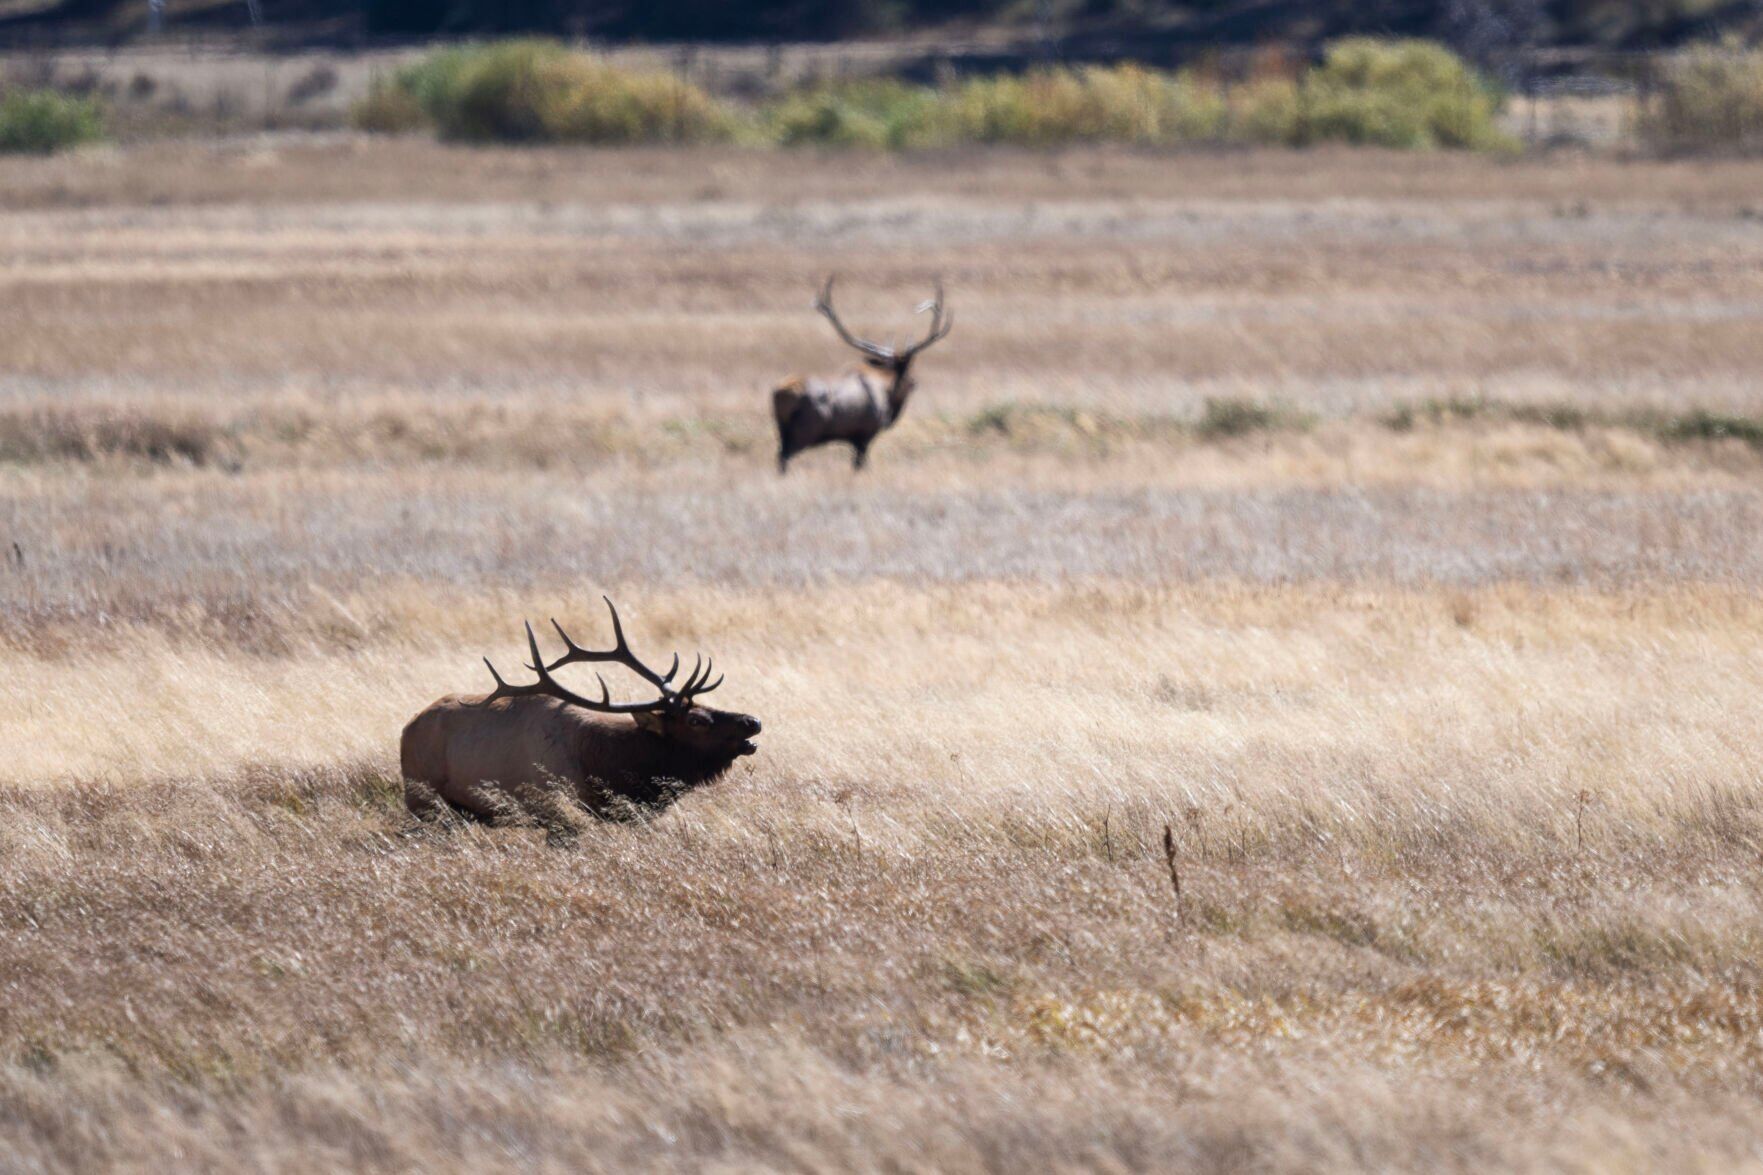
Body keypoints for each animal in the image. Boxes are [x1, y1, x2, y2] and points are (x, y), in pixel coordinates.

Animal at [401, 598, 761, 823]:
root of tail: (408, 726)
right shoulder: (553, 806)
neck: (604, 761)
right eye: (696, 720)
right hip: (422, 797)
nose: (753, 721)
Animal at [772, 276, 954, 473]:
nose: (915, 383)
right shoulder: (865, 435)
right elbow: (860, 465)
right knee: (783, 457)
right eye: (910, 373)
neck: (887, 391)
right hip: (804, 432)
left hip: (782, 430)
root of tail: (781, 394)